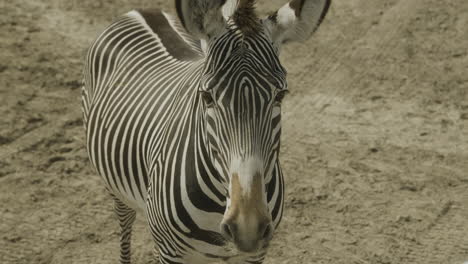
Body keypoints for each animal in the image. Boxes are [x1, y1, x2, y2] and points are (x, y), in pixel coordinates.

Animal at [81, 0, 330, 262]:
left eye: (281, 95)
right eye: (207, 97)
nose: (247, 227)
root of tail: (140, 11)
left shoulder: (255, 253)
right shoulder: (170, 252)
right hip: (116, 190)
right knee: (125, 225)